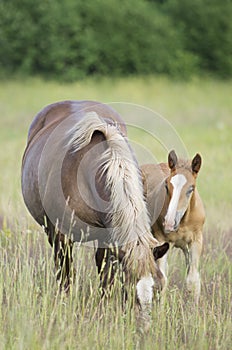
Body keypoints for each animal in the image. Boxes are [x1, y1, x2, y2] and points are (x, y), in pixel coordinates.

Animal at [21, 100, 169, 322]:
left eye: (158, 289)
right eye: (129, 290)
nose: (144, 325)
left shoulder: (108, 237)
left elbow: (106, 274)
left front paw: (104, 306)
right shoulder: (62, 235)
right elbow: (66, 273)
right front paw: (65, 304)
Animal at [141, 151, 205, 304]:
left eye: (191, 188)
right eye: (166, 185)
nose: (169, 223)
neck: (182, 222)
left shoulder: (196, 241)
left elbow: (193, 280)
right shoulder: (161, 241)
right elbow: (162, 279)